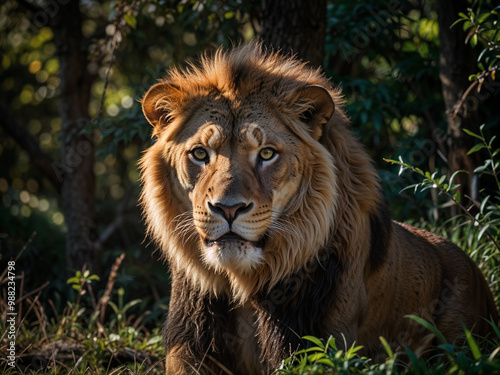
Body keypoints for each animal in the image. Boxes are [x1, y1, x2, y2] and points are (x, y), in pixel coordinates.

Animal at [139, 42, 498, 374]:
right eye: (200, 153)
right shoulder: (188, 348)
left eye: (267, 153)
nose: (228, 209)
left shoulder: (321, 344)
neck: (245, 285)